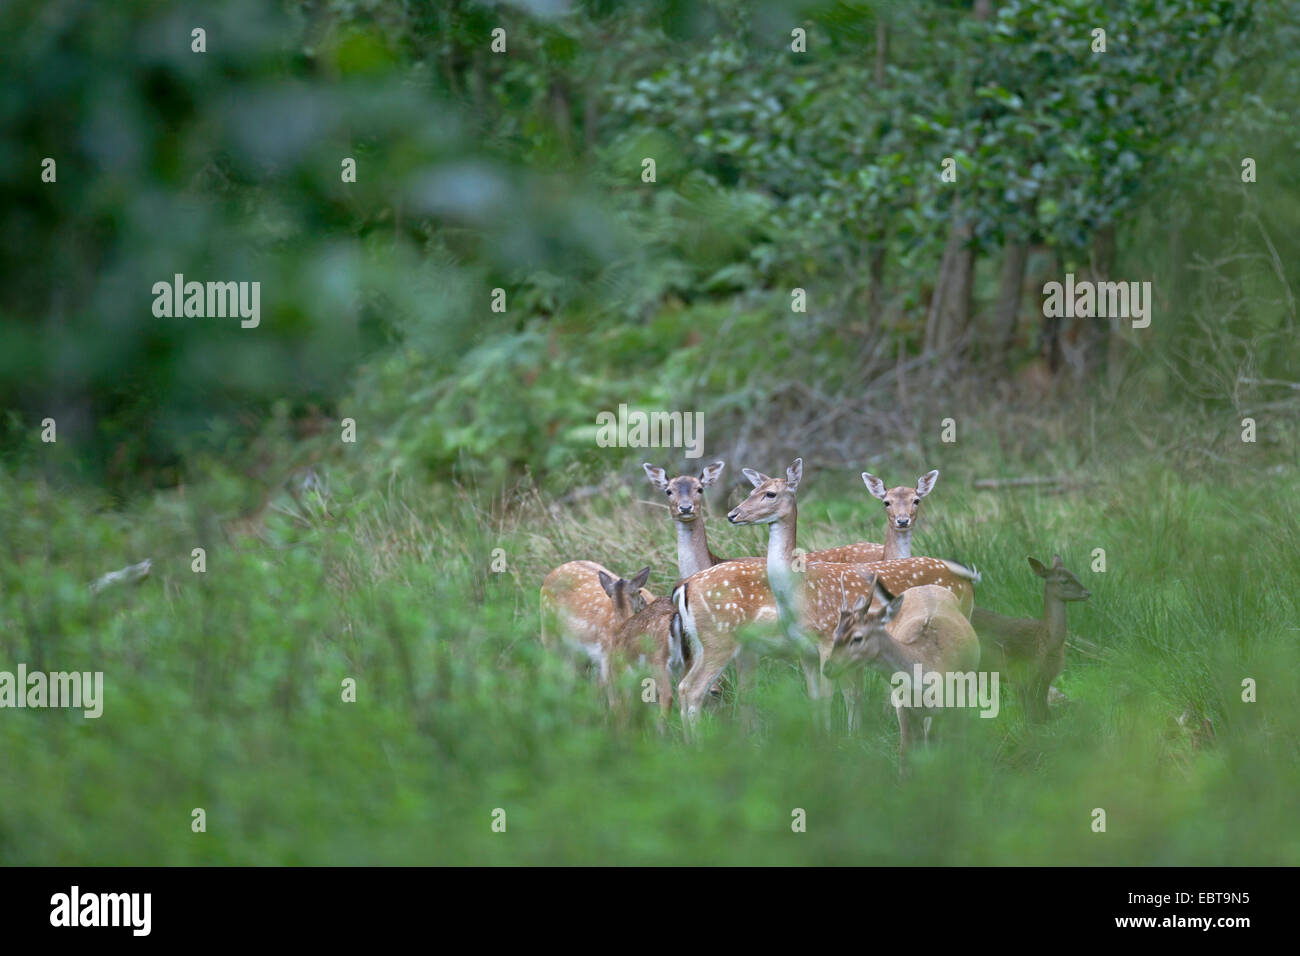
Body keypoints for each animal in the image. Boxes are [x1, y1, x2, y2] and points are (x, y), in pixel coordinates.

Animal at [670, 460, 977, 738]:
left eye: (770, 493)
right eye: (751, 490)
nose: (733, 514)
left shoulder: (828, 642)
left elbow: (835, 695)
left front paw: (841, 738)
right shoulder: (812, 648)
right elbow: (829, 696)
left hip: (716, 642)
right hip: (715, 640)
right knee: (691, 689)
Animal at [826, 580, 977, 775]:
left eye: (857, 638)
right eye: (835, 633)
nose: (827, 668)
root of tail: (926, 586)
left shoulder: (955, 704)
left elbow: (954, 745)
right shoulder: (902, 704)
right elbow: (906, 752)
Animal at [972, 556, 1092, 723]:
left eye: (1076, 575)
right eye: (1064, 581)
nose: (1088, 593)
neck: (1045, 642)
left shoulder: (1045, 677)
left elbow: (1043, 714)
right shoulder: (1023, 674)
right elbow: (1032, 716)